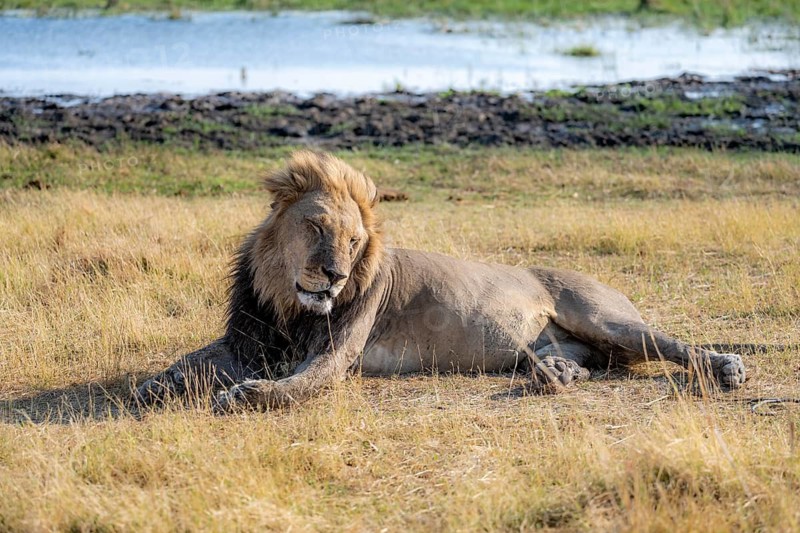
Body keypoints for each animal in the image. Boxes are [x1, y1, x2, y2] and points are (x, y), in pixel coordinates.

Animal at [135, 150, 747, 411]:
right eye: (316, 227)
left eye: (354, 243)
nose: (334, 275)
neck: (287, 302)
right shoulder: (248, 337)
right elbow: (192, 359)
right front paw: (154, 385)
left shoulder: (336, 353)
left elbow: (300, 384)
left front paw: (250, 394)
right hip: (553, 344)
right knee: (570, 361)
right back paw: (558, 375)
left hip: (606, 317)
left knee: (673, 345)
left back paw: (727, 367)